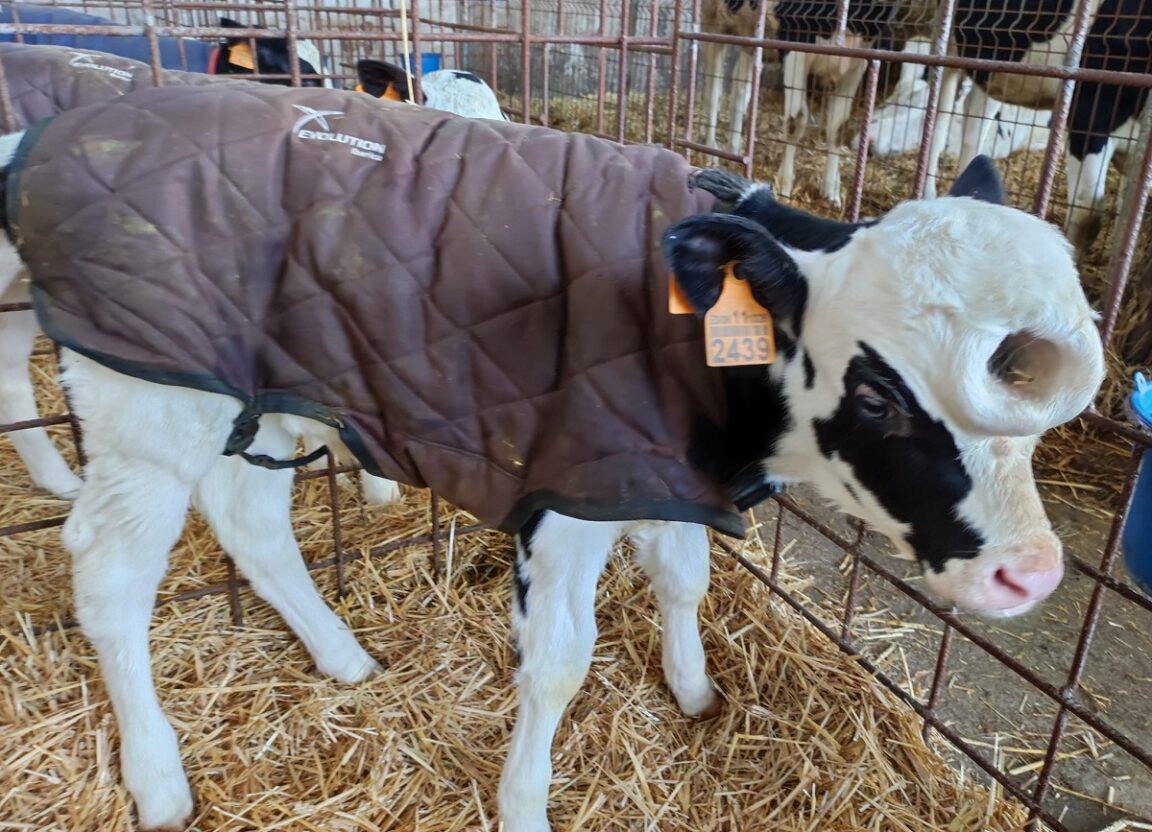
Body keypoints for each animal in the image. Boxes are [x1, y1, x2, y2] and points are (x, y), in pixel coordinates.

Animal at [0, 74, 1105, 825]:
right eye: (877, 393)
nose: (1032, 573)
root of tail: (57, 131)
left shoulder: (655, 471)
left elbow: (684, 577)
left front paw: (694, 691)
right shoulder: (572, 490)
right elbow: (560, 663)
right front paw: (525, 802)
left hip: (250, 392)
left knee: (252, 521)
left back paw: (343, 657)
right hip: (147, 403)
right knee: (111, 576)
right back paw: (159, 778)